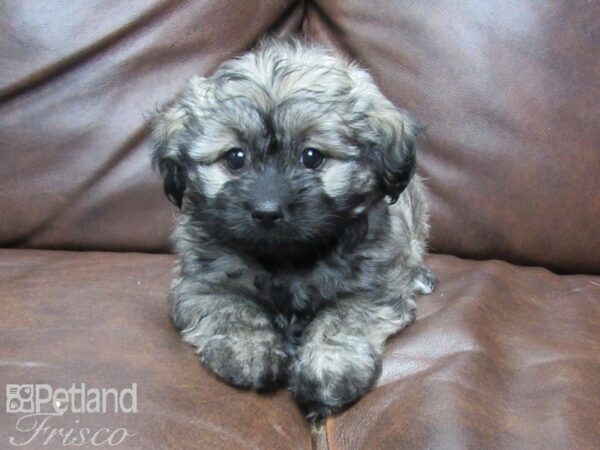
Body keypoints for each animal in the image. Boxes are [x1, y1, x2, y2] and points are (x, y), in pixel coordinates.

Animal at [152, 37, 438, 418]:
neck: (286, 259)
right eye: (235, 158)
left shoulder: (374, 289)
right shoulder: (201, 285)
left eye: (312, 157)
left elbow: (342, 318)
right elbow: (233, 308)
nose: (267, 212)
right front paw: (248, 349)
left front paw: (329, 367)